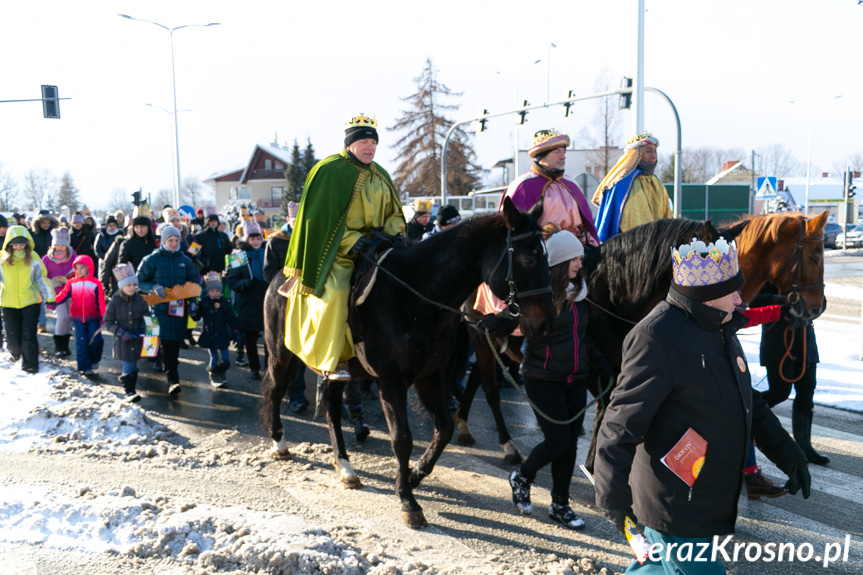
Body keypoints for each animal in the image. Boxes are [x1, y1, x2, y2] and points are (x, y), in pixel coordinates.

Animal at [260, 199, 552, 532]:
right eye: (528, 259)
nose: (546, 323)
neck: (414, 298)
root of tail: (281, 276)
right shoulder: (391, 382)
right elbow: (401, 439)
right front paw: (408, 501)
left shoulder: (431, 377)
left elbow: (444, 429)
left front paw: (414, 476)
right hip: (280, 354)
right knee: (276, 390)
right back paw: (280, 444)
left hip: (335, 367)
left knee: (332, 409)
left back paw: (346, 467)